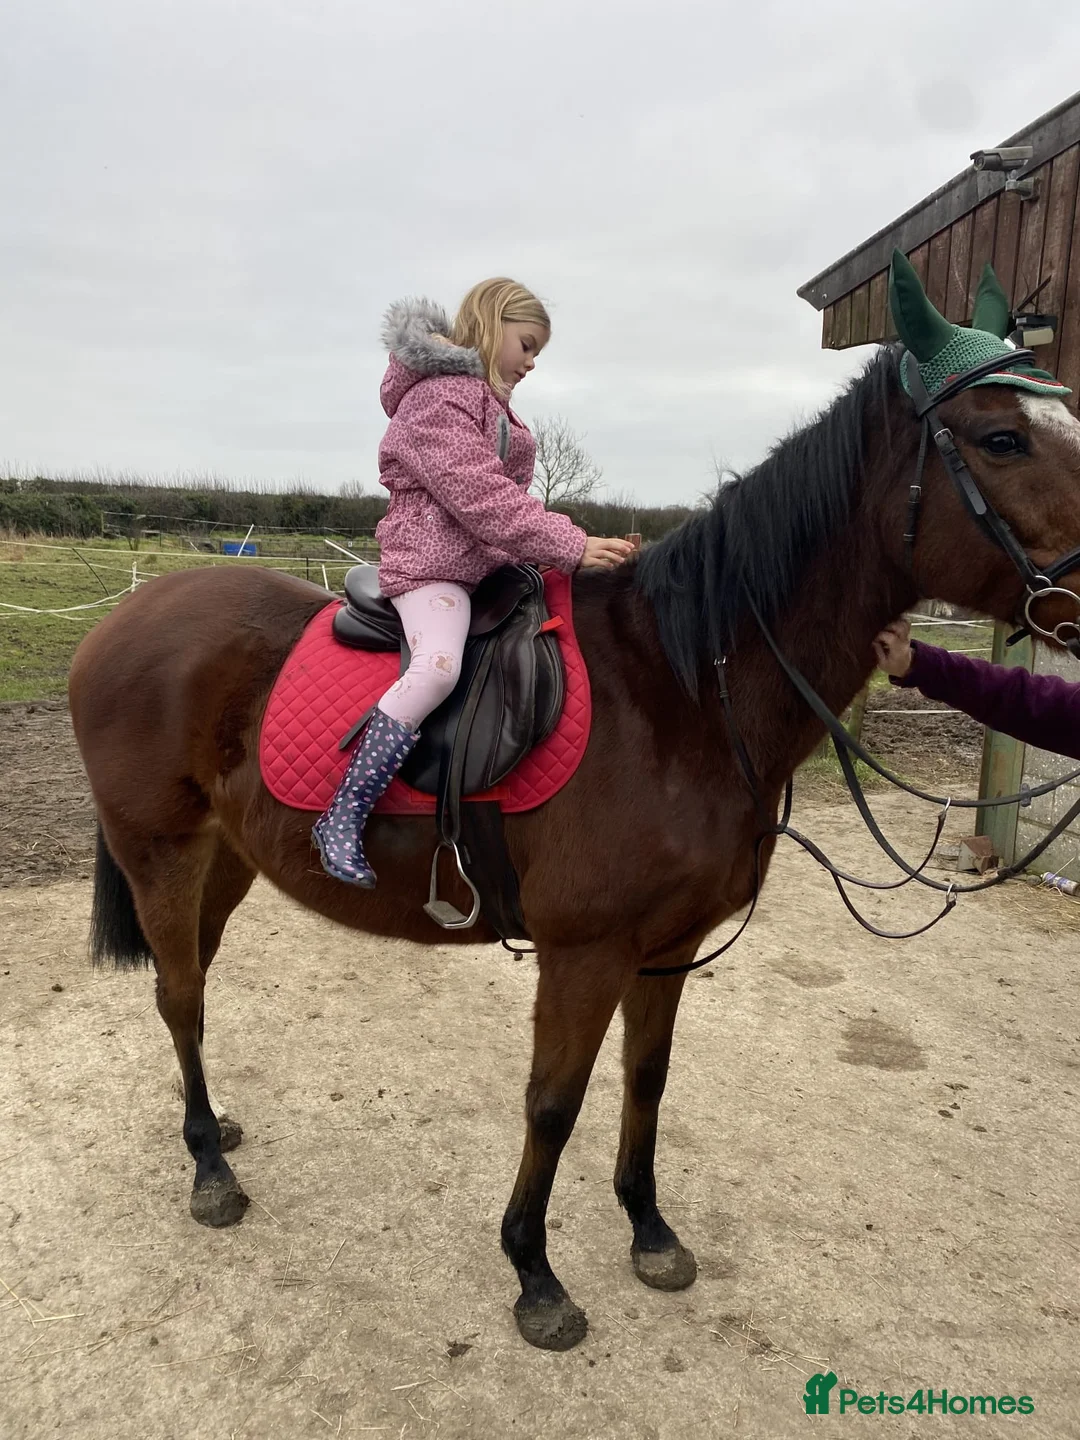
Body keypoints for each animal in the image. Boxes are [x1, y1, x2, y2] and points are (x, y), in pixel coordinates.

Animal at [69, 343, 1080, 1354]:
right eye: (1003, 438)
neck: (680, 690)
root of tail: (126, 619)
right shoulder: (586, 954)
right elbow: (554, 1105)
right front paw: (534, 1274)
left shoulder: (667, 948)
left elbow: (647, 1080)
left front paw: (649, 1228)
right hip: (160, 849)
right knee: (179, 995)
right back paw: (209, 1168)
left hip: (227, 855)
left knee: (194, 983)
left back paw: (215, 1128)